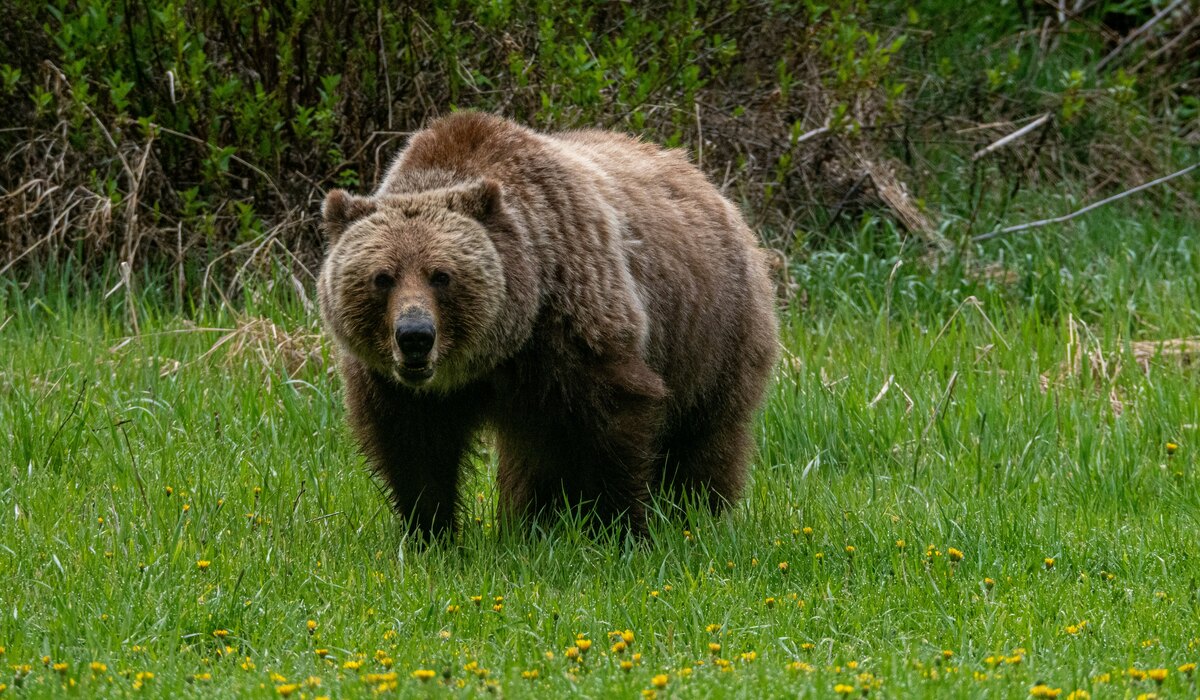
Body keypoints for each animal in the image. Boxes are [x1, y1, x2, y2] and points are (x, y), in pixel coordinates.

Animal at [317, 112, 778, 538]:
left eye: (441, 275)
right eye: (383, 277)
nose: (415, 336)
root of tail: (710, 185)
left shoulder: (573, 323)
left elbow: (612, 423)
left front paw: (621, 528)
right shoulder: (398, 386)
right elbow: (416, 449)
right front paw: (430, 532)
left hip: (711, 334)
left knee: (703, 436)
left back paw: (697, 514)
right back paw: (533, 522)